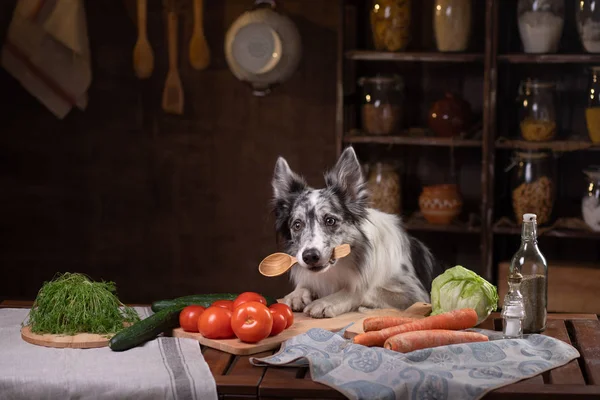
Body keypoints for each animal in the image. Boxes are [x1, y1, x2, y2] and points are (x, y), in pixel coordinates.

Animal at [270, 145, 442, 318]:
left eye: (330, 220)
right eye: (297, 225)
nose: (310, 257)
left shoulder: (417, 295)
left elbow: (361, 289)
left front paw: (327, 302)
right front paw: (297, 294)